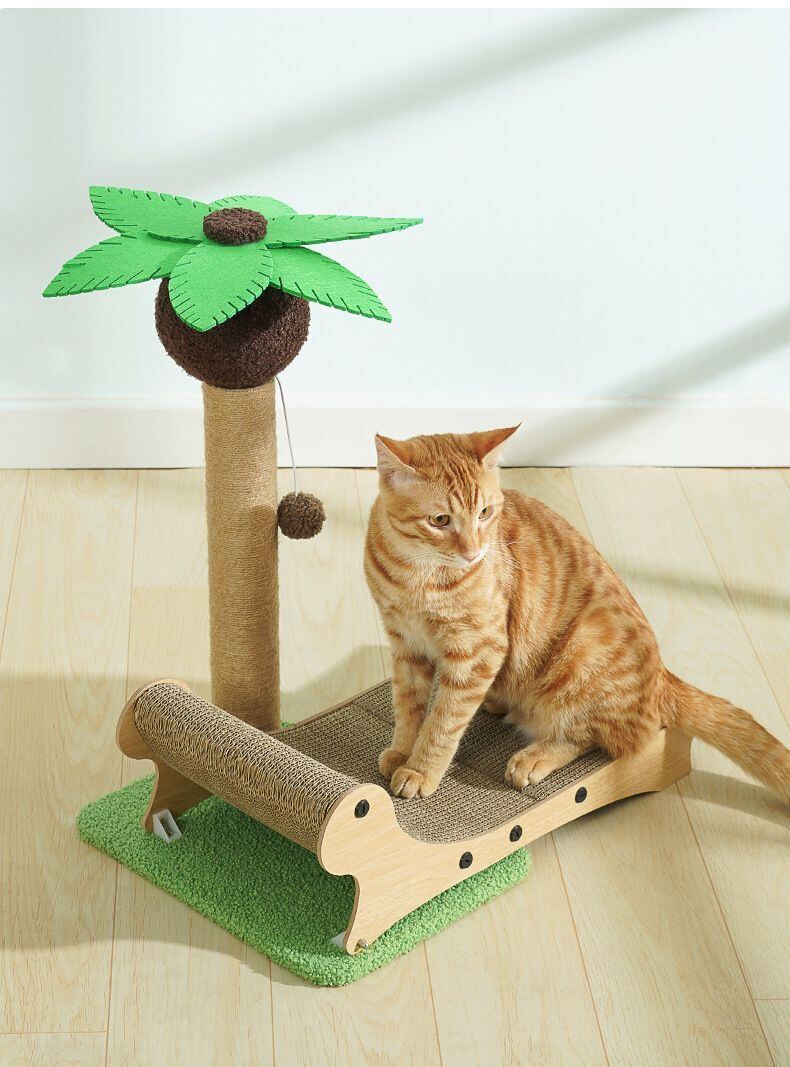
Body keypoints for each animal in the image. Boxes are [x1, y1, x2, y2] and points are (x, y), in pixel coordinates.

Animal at [364, 426, 790, 803]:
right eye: (439, 521)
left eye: (485, 512)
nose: (473, 552)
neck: (416, 576)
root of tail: (664, 679)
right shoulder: (405, 644)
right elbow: (408, 707)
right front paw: (402, 752)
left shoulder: (478, 650)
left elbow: (443, 722)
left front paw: (421, 770)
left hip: (579, 656)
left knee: (597, 738)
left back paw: (533, 758)